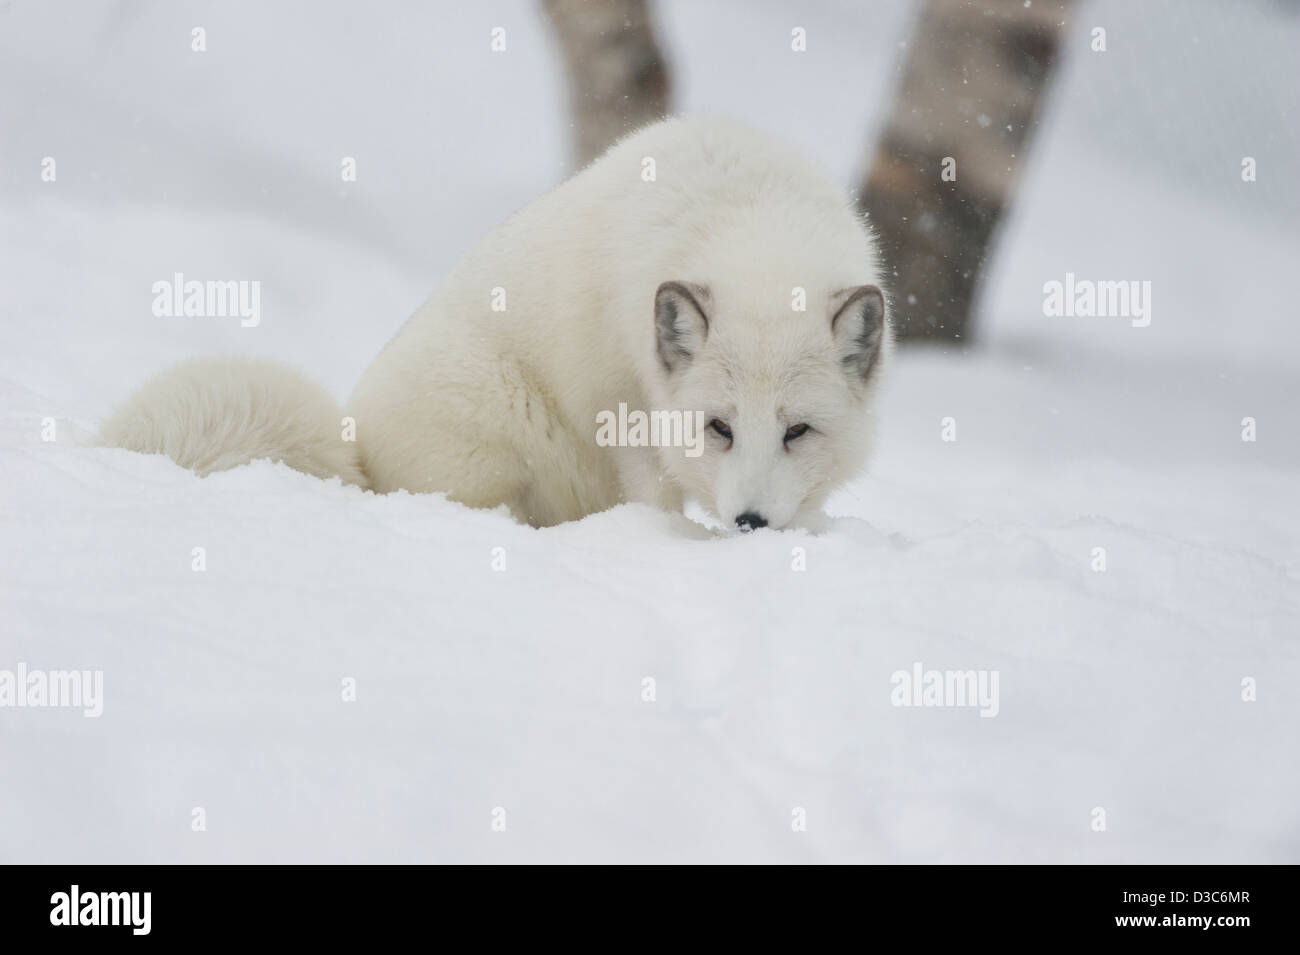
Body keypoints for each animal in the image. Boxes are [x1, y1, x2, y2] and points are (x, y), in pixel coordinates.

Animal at [104, 116, 894, 535]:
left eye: (798, 431)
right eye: (719, 427)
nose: (751, 524)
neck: (753, 229)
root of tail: (355, 451)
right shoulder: (622, 405)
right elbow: (655, 494)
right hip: (497, 430)